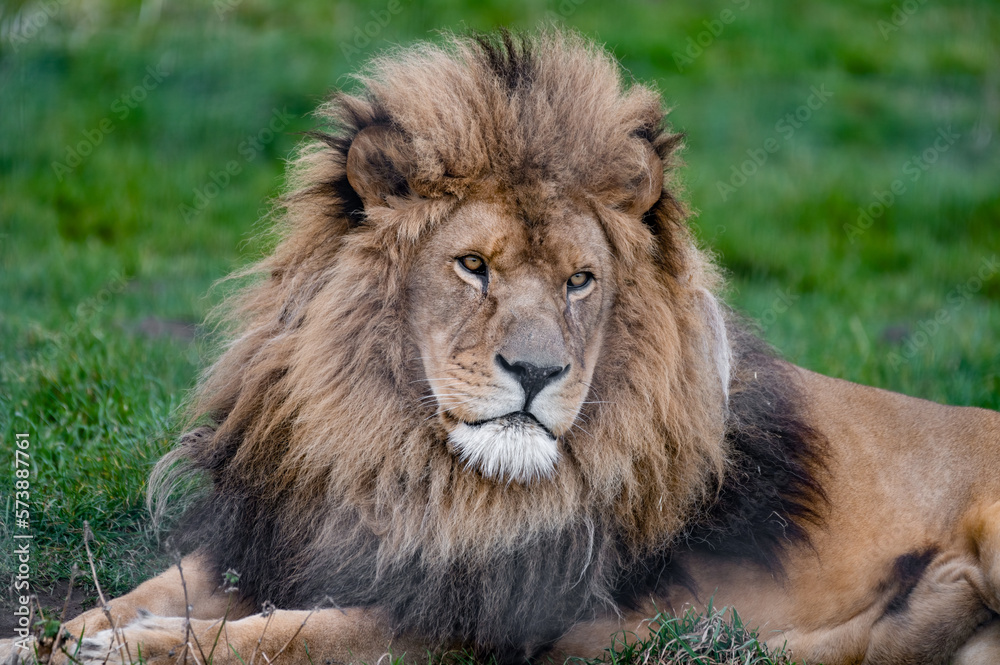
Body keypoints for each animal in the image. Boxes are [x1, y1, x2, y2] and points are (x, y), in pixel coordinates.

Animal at [5, 28, 1000, 664]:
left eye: (580, 281)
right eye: (473, 266)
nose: (536, 370)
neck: (394, 459)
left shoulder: (465, 626)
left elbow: (285, 634)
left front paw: (129, 649)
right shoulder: (280, 538)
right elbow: (144, 592)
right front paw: (50, 635)